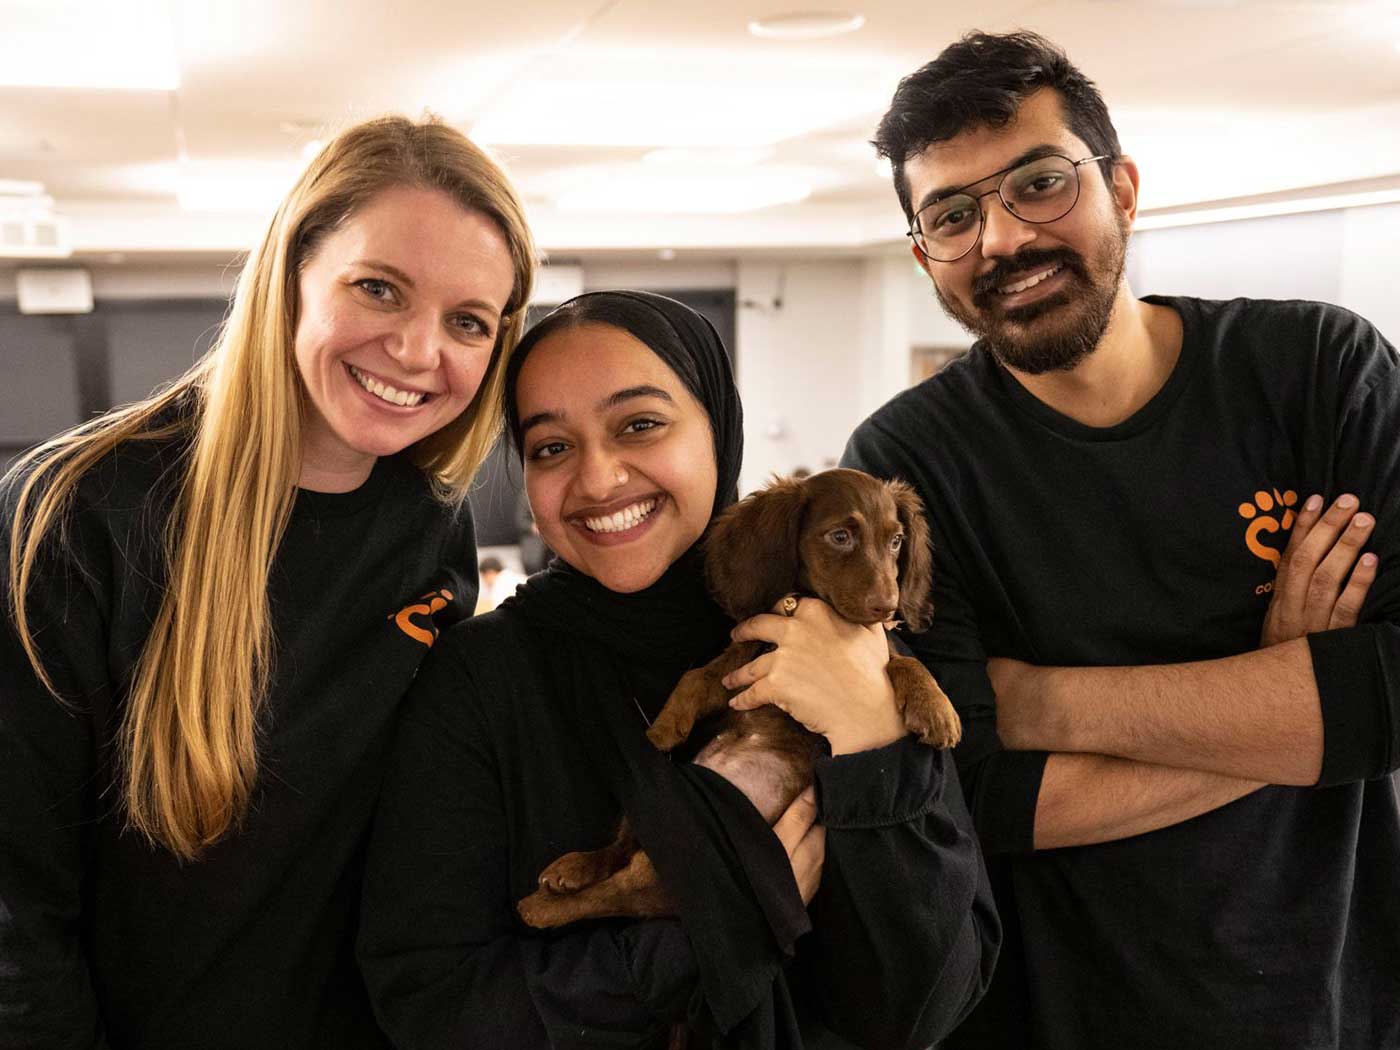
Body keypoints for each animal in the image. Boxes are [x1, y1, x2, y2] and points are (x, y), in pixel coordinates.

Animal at [518, 467, 963, 929]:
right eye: (840, 536)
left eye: (896, 541)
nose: (887, 607)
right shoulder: (742, 663)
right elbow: (697, 677)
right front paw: (663, 728)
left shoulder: (866, 648)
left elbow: (902, 661)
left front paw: (937, 710)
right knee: (614, 870)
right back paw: (562, 881)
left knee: (613, 884)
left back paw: (547, 898)